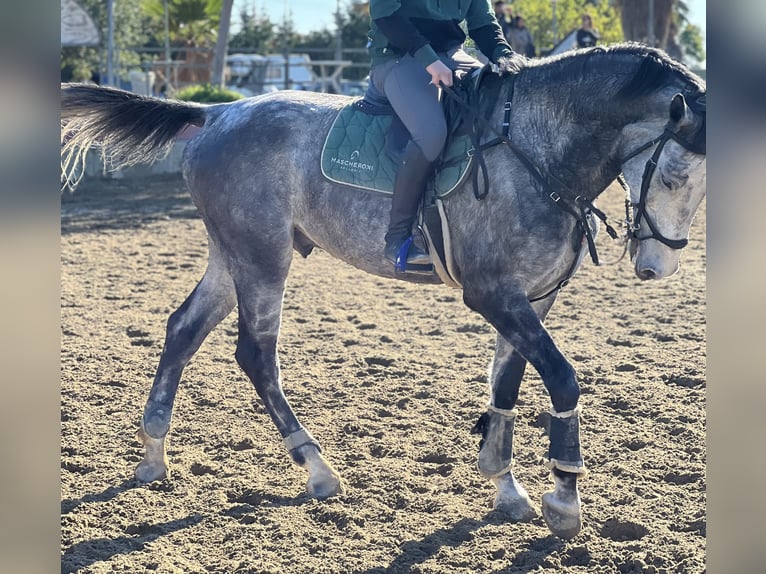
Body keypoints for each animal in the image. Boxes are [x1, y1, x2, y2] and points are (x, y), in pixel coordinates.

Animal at [60, 44, 708, 540]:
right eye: (674, 172)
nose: (657, 267)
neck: (538, 149)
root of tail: (215, 115)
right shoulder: (493, 295)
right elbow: (562, 378)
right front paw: (565, 498)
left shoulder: (533, 297)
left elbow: (507, 382)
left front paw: (505, 485)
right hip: (261, 257)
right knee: (255, 354)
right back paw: (316, 467)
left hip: (232, 255)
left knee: (182, 328)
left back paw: (152, 453)